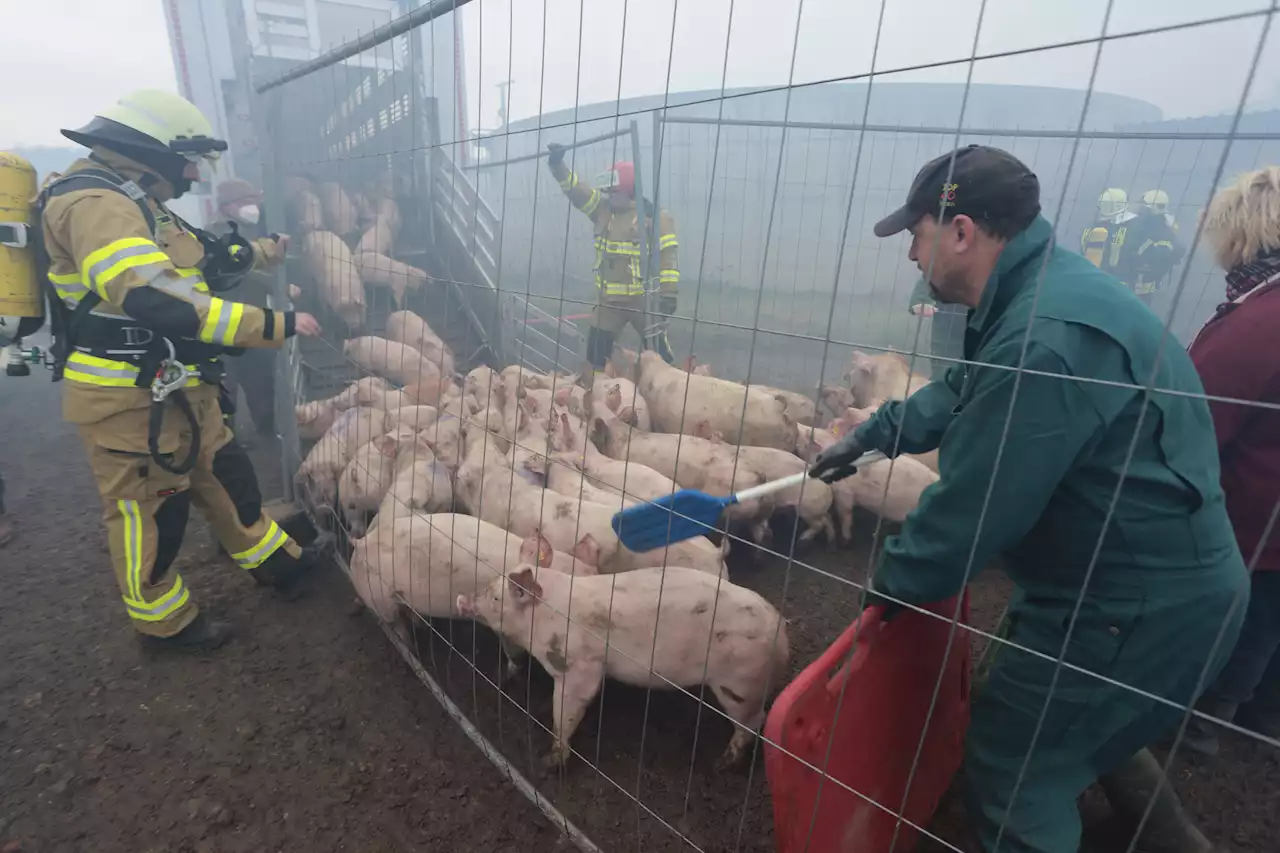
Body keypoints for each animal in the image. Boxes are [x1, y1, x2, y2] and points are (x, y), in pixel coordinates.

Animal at [455, 563, 783, 763]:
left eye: (495, 598)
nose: (462, 599)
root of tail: (781, 630)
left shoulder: (580, 666)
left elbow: (569, 708)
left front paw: (550, 760)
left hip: (739, 684)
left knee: (754, 721)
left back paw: (723, 763)